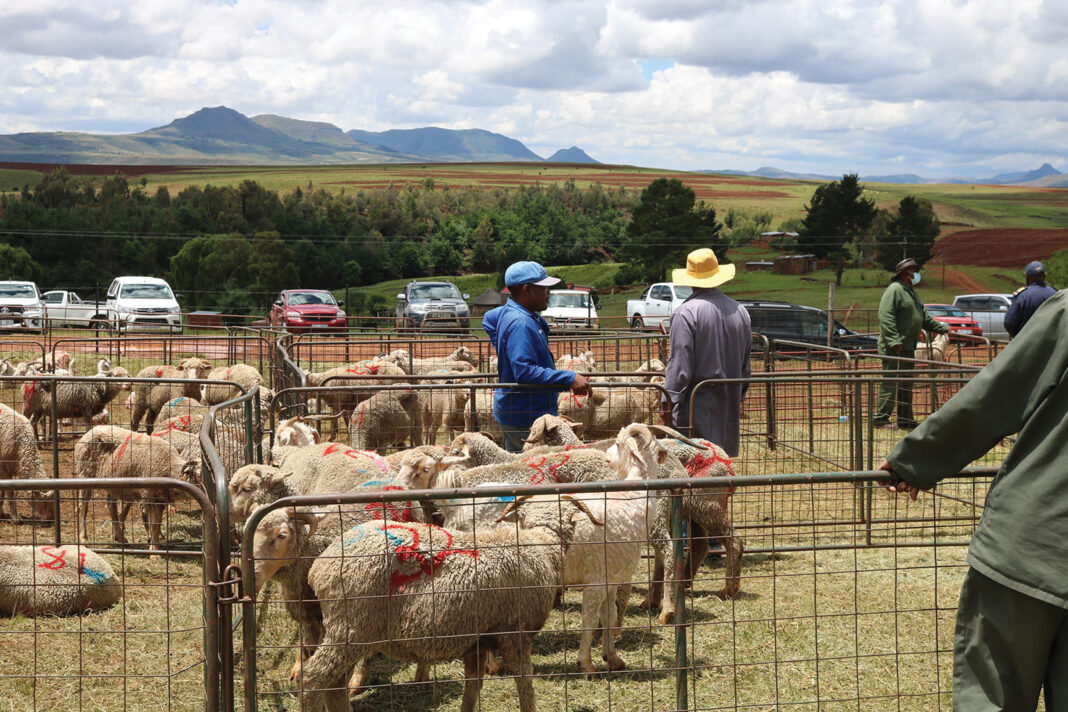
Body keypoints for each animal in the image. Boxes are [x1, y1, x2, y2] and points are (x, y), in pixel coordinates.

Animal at [73, 425, 200, 557]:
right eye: (198, 475)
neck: (168, 465)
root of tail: (91, 430)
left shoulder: (160, 498)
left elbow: (157, 523)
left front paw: (156, 545)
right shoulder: (148, 495)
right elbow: (153, 525)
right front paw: (154, 552)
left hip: (114, 483)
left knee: (111, 505)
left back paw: (120, 537)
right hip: (85, 473)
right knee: (83, 506)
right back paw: (84, 539)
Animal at [297, 494, 601, 712]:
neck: (540, 544)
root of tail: (321, 565)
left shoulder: (478, 642)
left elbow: (472, 690)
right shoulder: (515, 633)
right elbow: (525, 684)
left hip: (345, 630)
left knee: (334, 685)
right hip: (352, 627)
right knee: (313, 679)